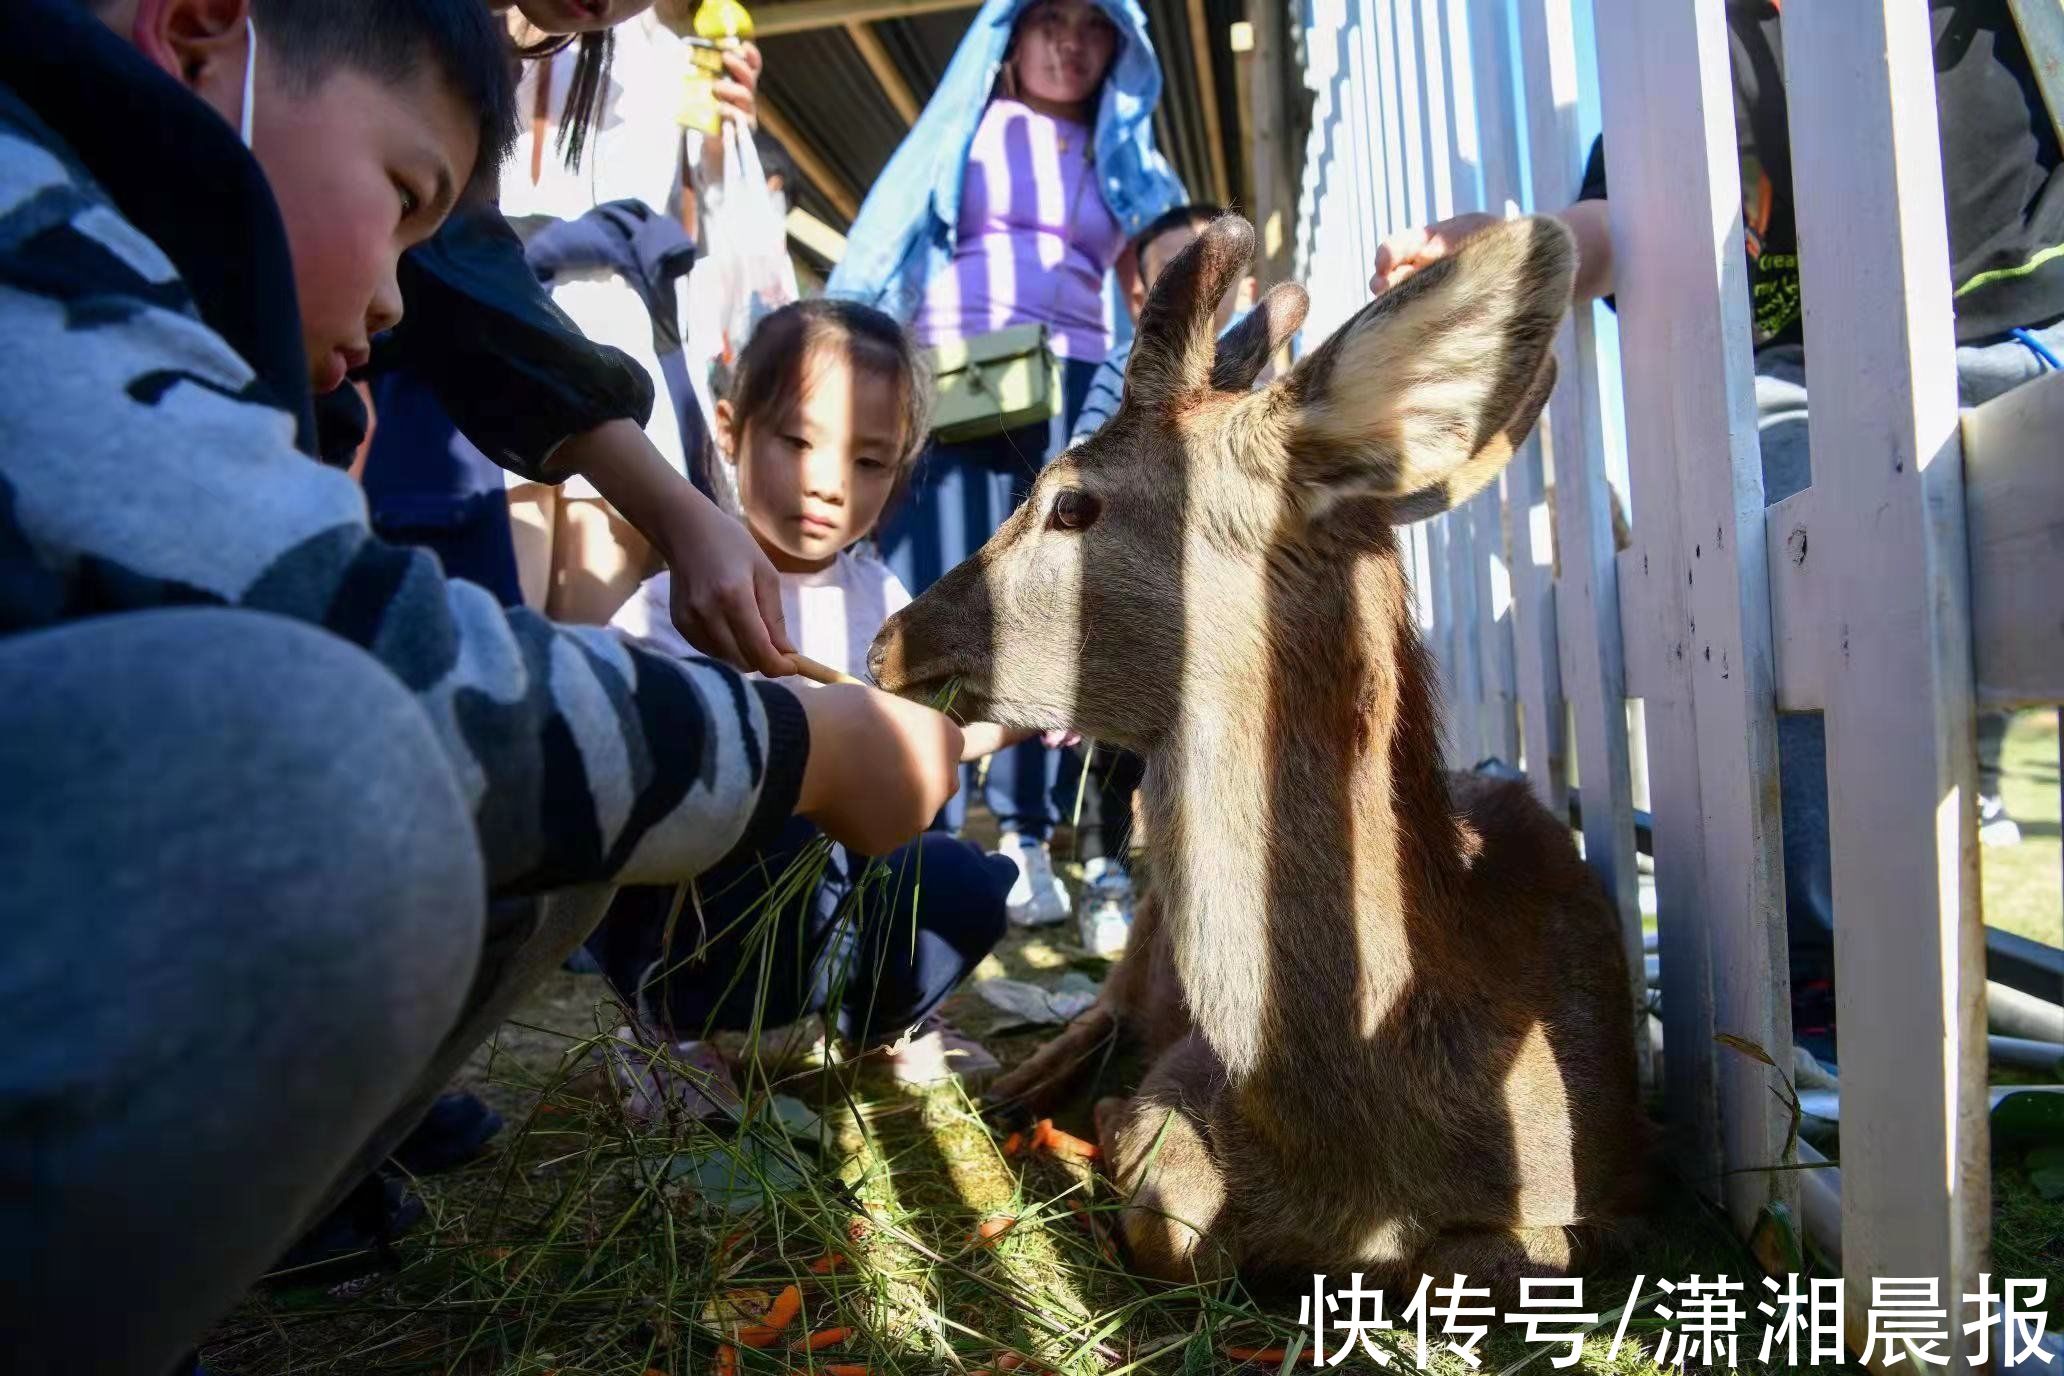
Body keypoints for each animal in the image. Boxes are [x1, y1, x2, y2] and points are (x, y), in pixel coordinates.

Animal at [871, 217, 1642, 1303]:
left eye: (1071, 505)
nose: (889, 642)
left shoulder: (1611, 1169)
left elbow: (1508, 1255)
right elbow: (1170, 1220)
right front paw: (1114, 1131)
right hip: (1144, 931)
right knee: (1103, 1003)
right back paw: (1009, 1083)